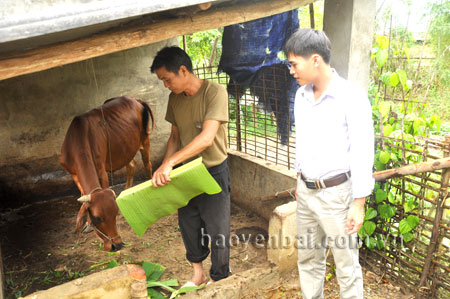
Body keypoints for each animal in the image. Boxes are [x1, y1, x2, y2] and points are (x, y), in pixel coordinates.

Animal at [60, 97, 155, 252]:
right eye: (97, 218)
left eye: (115, 214)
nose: (117, 245)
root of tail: (135, 99)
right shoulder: (74, 174)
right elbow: (84, 196)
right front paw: (87, 224)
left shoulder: (101, 171)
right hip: (126, 148)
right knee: (132, 164)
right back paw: (126, 191)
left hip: (145, 140)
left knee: (148, 164)